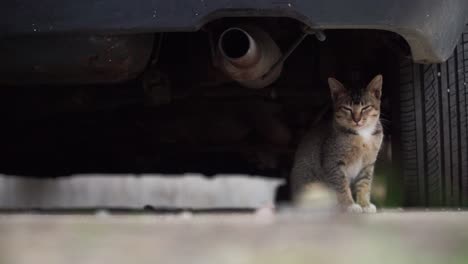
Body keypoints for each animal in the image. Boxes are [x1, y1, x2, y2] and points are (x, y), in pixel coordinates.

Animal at [290, 73, 386, 212]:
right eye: (347, 108)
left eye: (365, 107)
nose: (357, 120)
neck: (361, 134)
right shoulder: (333, 162)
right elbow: (341, 185)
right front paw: (349, 205)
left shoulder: (368, 164)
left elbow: (364, 184)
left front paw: (365, 204)